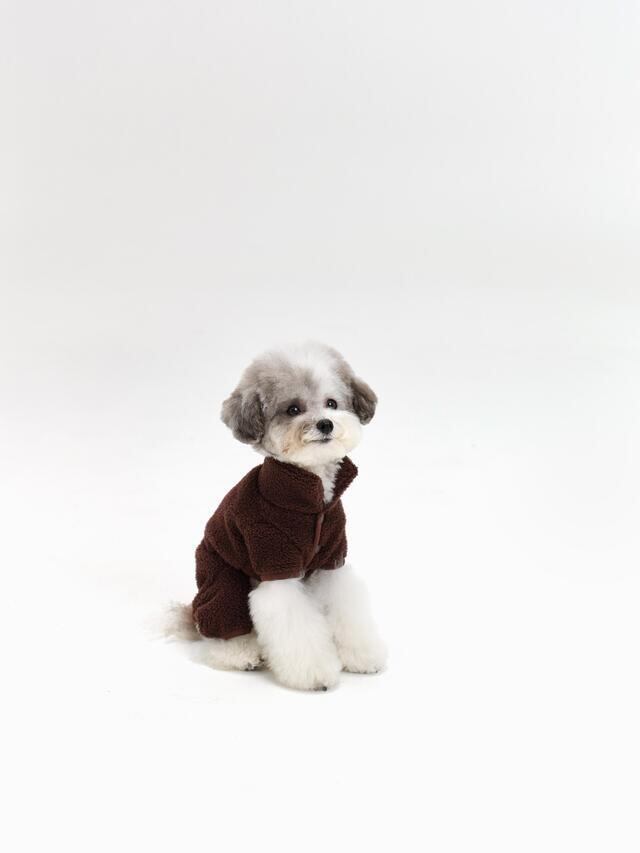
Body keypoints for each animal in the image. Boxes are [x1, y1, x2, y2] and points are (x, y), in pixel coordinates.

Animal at [171, 342, 386, 691]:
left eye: (331, 403)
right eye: (293, 409)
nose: (325, 423)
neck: (312, 501)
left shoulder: (331, 561)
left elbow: (346, 608)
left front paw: (362, 655)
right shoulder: (274, 561)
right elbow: (293, 623)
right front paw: (317, 673)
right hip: (222, 582)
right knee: (220, 629)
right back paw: (241, 653)